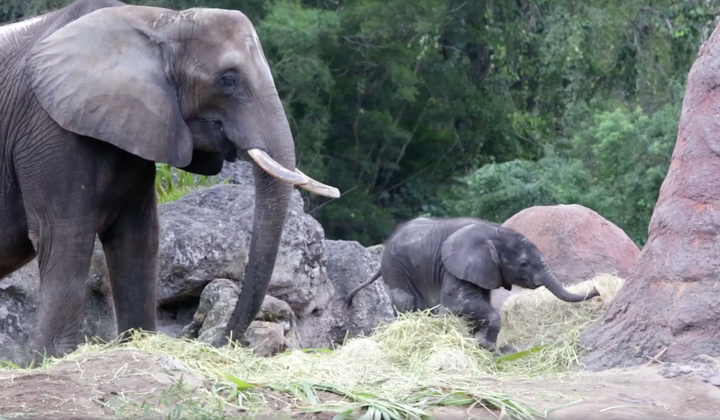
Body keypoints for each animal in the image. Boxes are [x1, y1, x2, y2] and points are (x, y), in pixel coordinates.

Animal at [0, 0, 340, 360]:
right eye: (228, 80)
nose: (218, 340)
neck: (162, 21)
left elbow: (137, 237)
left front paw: (139, 342)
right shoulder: (48, 127)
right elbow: (66, 234)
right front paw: (52, 357)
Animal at [344, 217, 600, 352]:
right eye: (524, 264)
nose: (598, 291)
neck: (495, 231)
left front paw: (480, 344)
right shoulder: (454, 267)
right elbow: (459, 302)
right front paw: (484, 346)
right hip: (397, 268)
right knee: (406, 302)